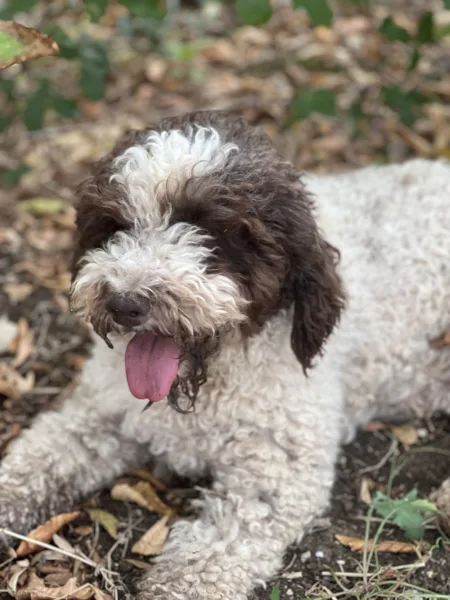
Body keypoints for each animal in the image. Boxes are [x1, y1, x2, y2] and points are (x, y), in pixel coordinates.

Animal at [0, 110, 450, 596]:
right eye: (115, 225)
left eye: (210, 230)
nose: (123, 302)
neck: (202, 389)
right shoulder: (98, 413)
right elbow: (40, 457)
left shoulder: (275, 469)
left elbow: (217, 544)